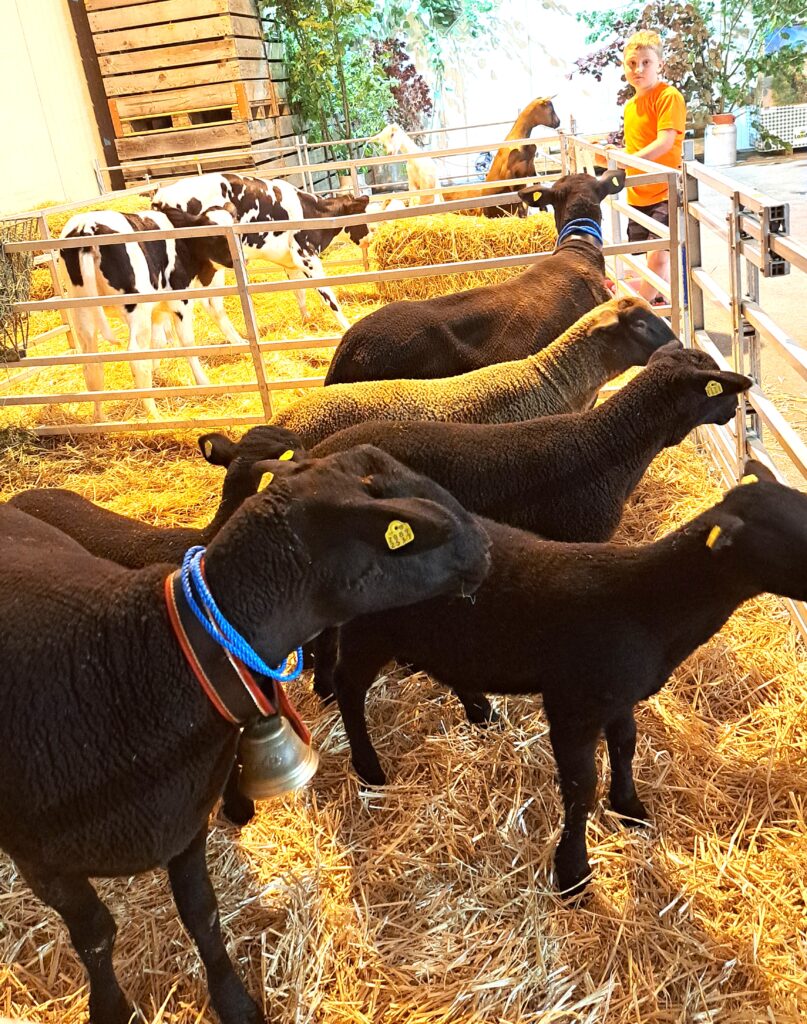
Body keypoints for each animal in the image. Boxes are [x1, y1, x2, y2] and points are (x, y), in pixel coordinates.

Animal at [0, 446, 490, 1024]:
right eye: (409, 527)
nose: (486, 547)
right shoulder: (42, 863)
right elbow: (97, 936)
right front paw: (110, 1006)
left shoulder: (184, 824)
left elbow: (203, 915)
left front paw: (233, 1000)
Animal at [315, 461, 807, 898]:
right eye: (795, 536)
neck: (649, 604)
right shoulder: (573, 704)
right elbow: (580, 786)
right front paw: (573, 872)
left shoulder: (617, 695)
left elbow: (625, 745)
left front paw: (629, 807)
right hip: (369, 628)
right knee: (348, 684)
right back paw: (368, 766)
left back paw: (480, 711)